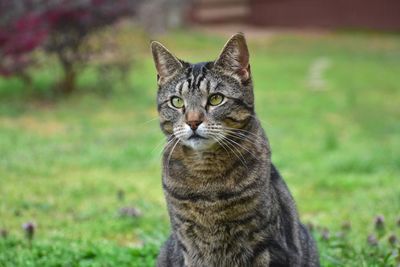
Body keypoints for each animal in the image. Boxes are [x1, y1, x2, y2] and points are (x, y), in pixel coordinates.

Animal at [152, 32, 320, 266]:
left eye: (216, 99)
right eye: (176, 102)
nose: (193, 122)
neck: (207, 177)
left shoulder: (266, 245)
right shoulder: (187, 243)